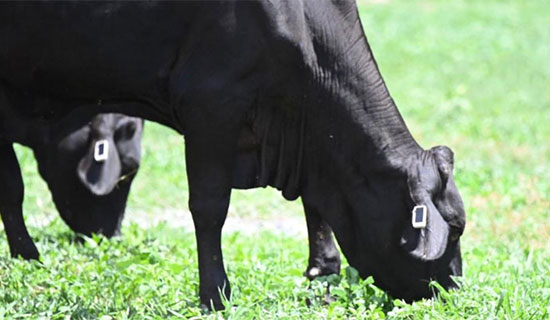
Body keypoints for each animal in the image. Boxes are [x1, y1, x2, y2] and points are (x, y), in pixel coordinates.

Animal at [0, 0, 466, 310]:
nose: (454, 292)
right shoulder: (210, 109)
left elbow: (315, 205)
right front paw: (215, 295)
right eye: (455, 230)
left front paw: (323, 271)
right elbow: (209, 208)